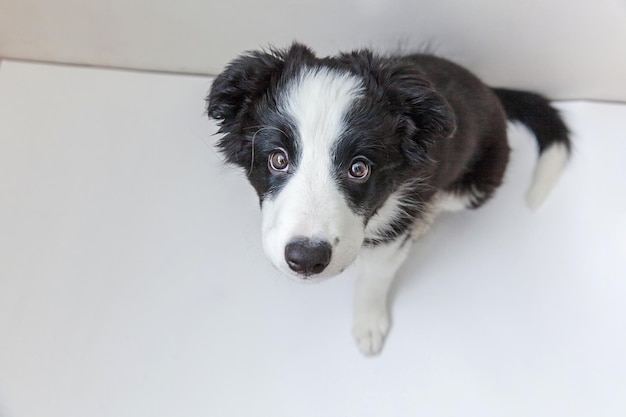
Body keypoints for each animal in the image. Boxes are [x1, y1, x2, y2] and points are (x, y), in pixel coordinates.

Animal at [206, 43, 572, 354]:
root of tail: (490, 90)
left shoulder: (392, 233)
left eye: (359, 168)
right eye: (278, 159)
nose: (306, 259)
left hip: (480, 181)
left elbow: (375, 279)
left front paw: (369, 325)